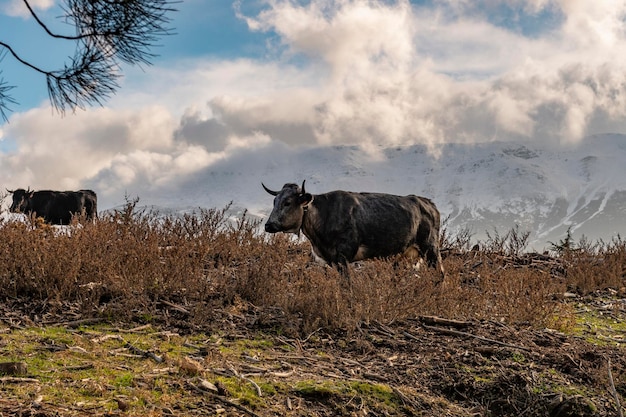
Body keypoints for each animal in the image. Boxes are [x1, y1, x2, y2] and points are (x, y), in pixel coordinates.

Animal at [264, 180, 444, 280]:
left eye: (287, 202)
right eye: (274, 201)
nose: (268, 225)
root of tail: (427, 202)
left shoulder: (343, 255)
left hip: (431, 248)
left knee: (440, 274)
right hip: (404, 255)